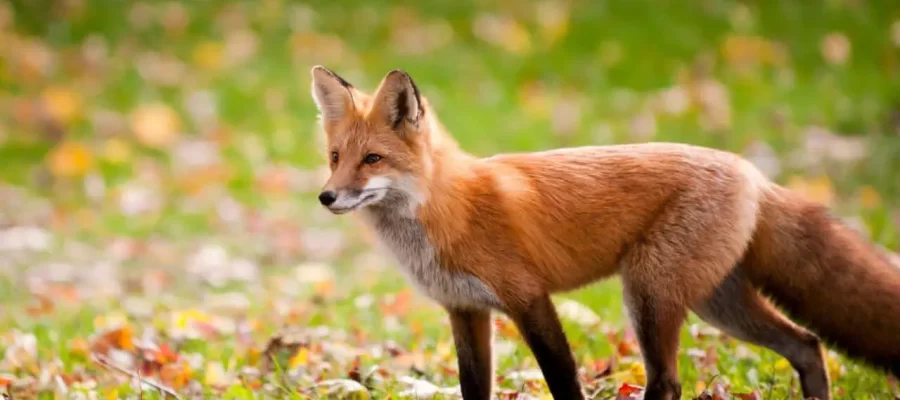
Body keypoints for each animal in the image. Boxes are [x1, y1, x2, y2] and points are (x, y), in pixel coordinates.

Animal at [308, 65, 900, 400]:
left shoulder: (528, 298)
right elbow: (473, 388)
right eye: (335, 158)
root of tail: (750, 170)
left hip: (649, 295)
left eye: (372, 159)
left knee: (668, 383)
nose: (326, 197)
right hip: (717, 303)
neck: (447, 208)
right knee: (807, 345)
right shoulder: (466, 310)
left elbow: (563, 380)